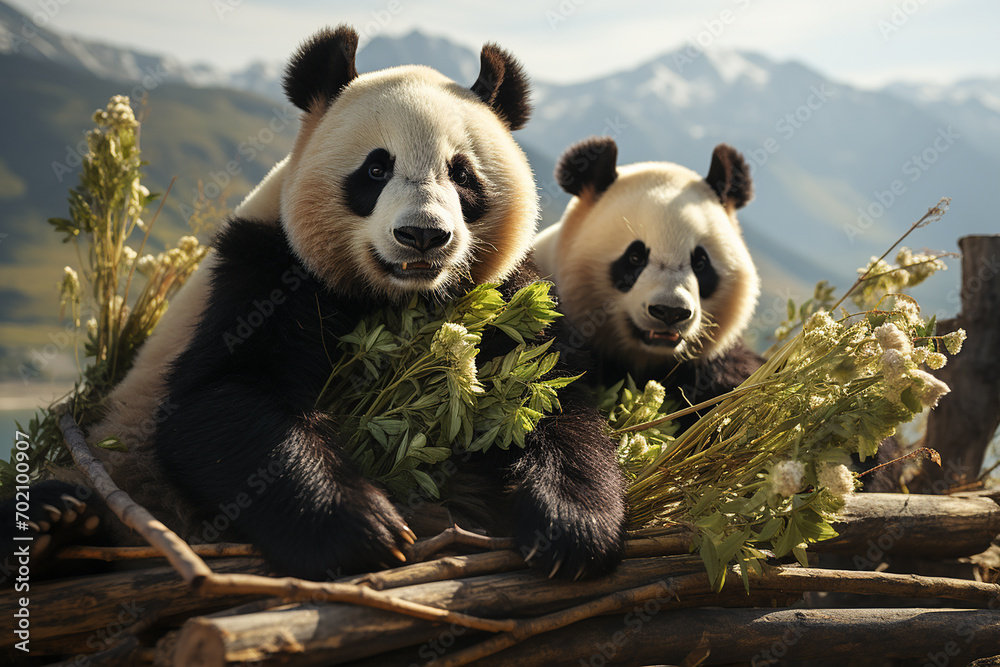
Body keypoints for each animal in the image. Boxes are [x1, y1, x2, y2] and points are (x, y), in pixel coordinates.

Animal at [3, 27, 625, 582]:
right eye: (375, 168)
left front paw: (571, 528)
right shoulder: (264, 272)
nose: (423, 235)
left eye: (462, 174)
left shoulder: (502, 297)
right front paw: (363, 529)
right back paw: (54, 520)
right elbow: (225, 397)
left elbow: (547, 400)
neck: (402, 300)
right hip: (116, 464)